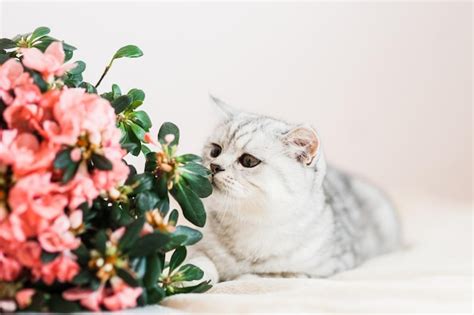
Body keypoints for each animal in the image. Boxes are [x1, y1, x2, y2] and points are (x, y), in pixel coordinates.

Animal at [187, 96, 402, 284]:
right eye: (215, 151)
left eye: (248, 161)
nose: (214, 166)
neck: (248, 224)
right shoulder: (196, 245)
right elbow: (201, 262)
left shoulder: (323, 270)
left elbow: (263, 275)